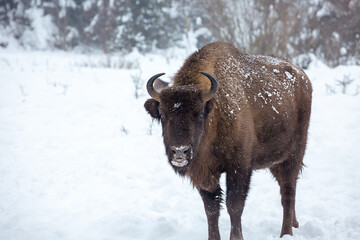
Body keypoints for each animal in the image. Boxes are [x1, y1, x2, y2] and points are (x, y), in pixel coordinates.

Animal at [143, 42, 312, 239]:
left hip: (294, 153)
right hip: (276, 161)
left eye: (199, 113)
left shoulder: (239, 168)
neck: (215, 115)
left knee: (288, 192)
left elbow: (234, 206)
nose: (179, 151)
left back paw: (286, 232)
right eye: (162, 115)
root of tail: (302, 76)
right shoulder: (204, 173)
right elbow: (212, 209)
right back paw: (295, 224)